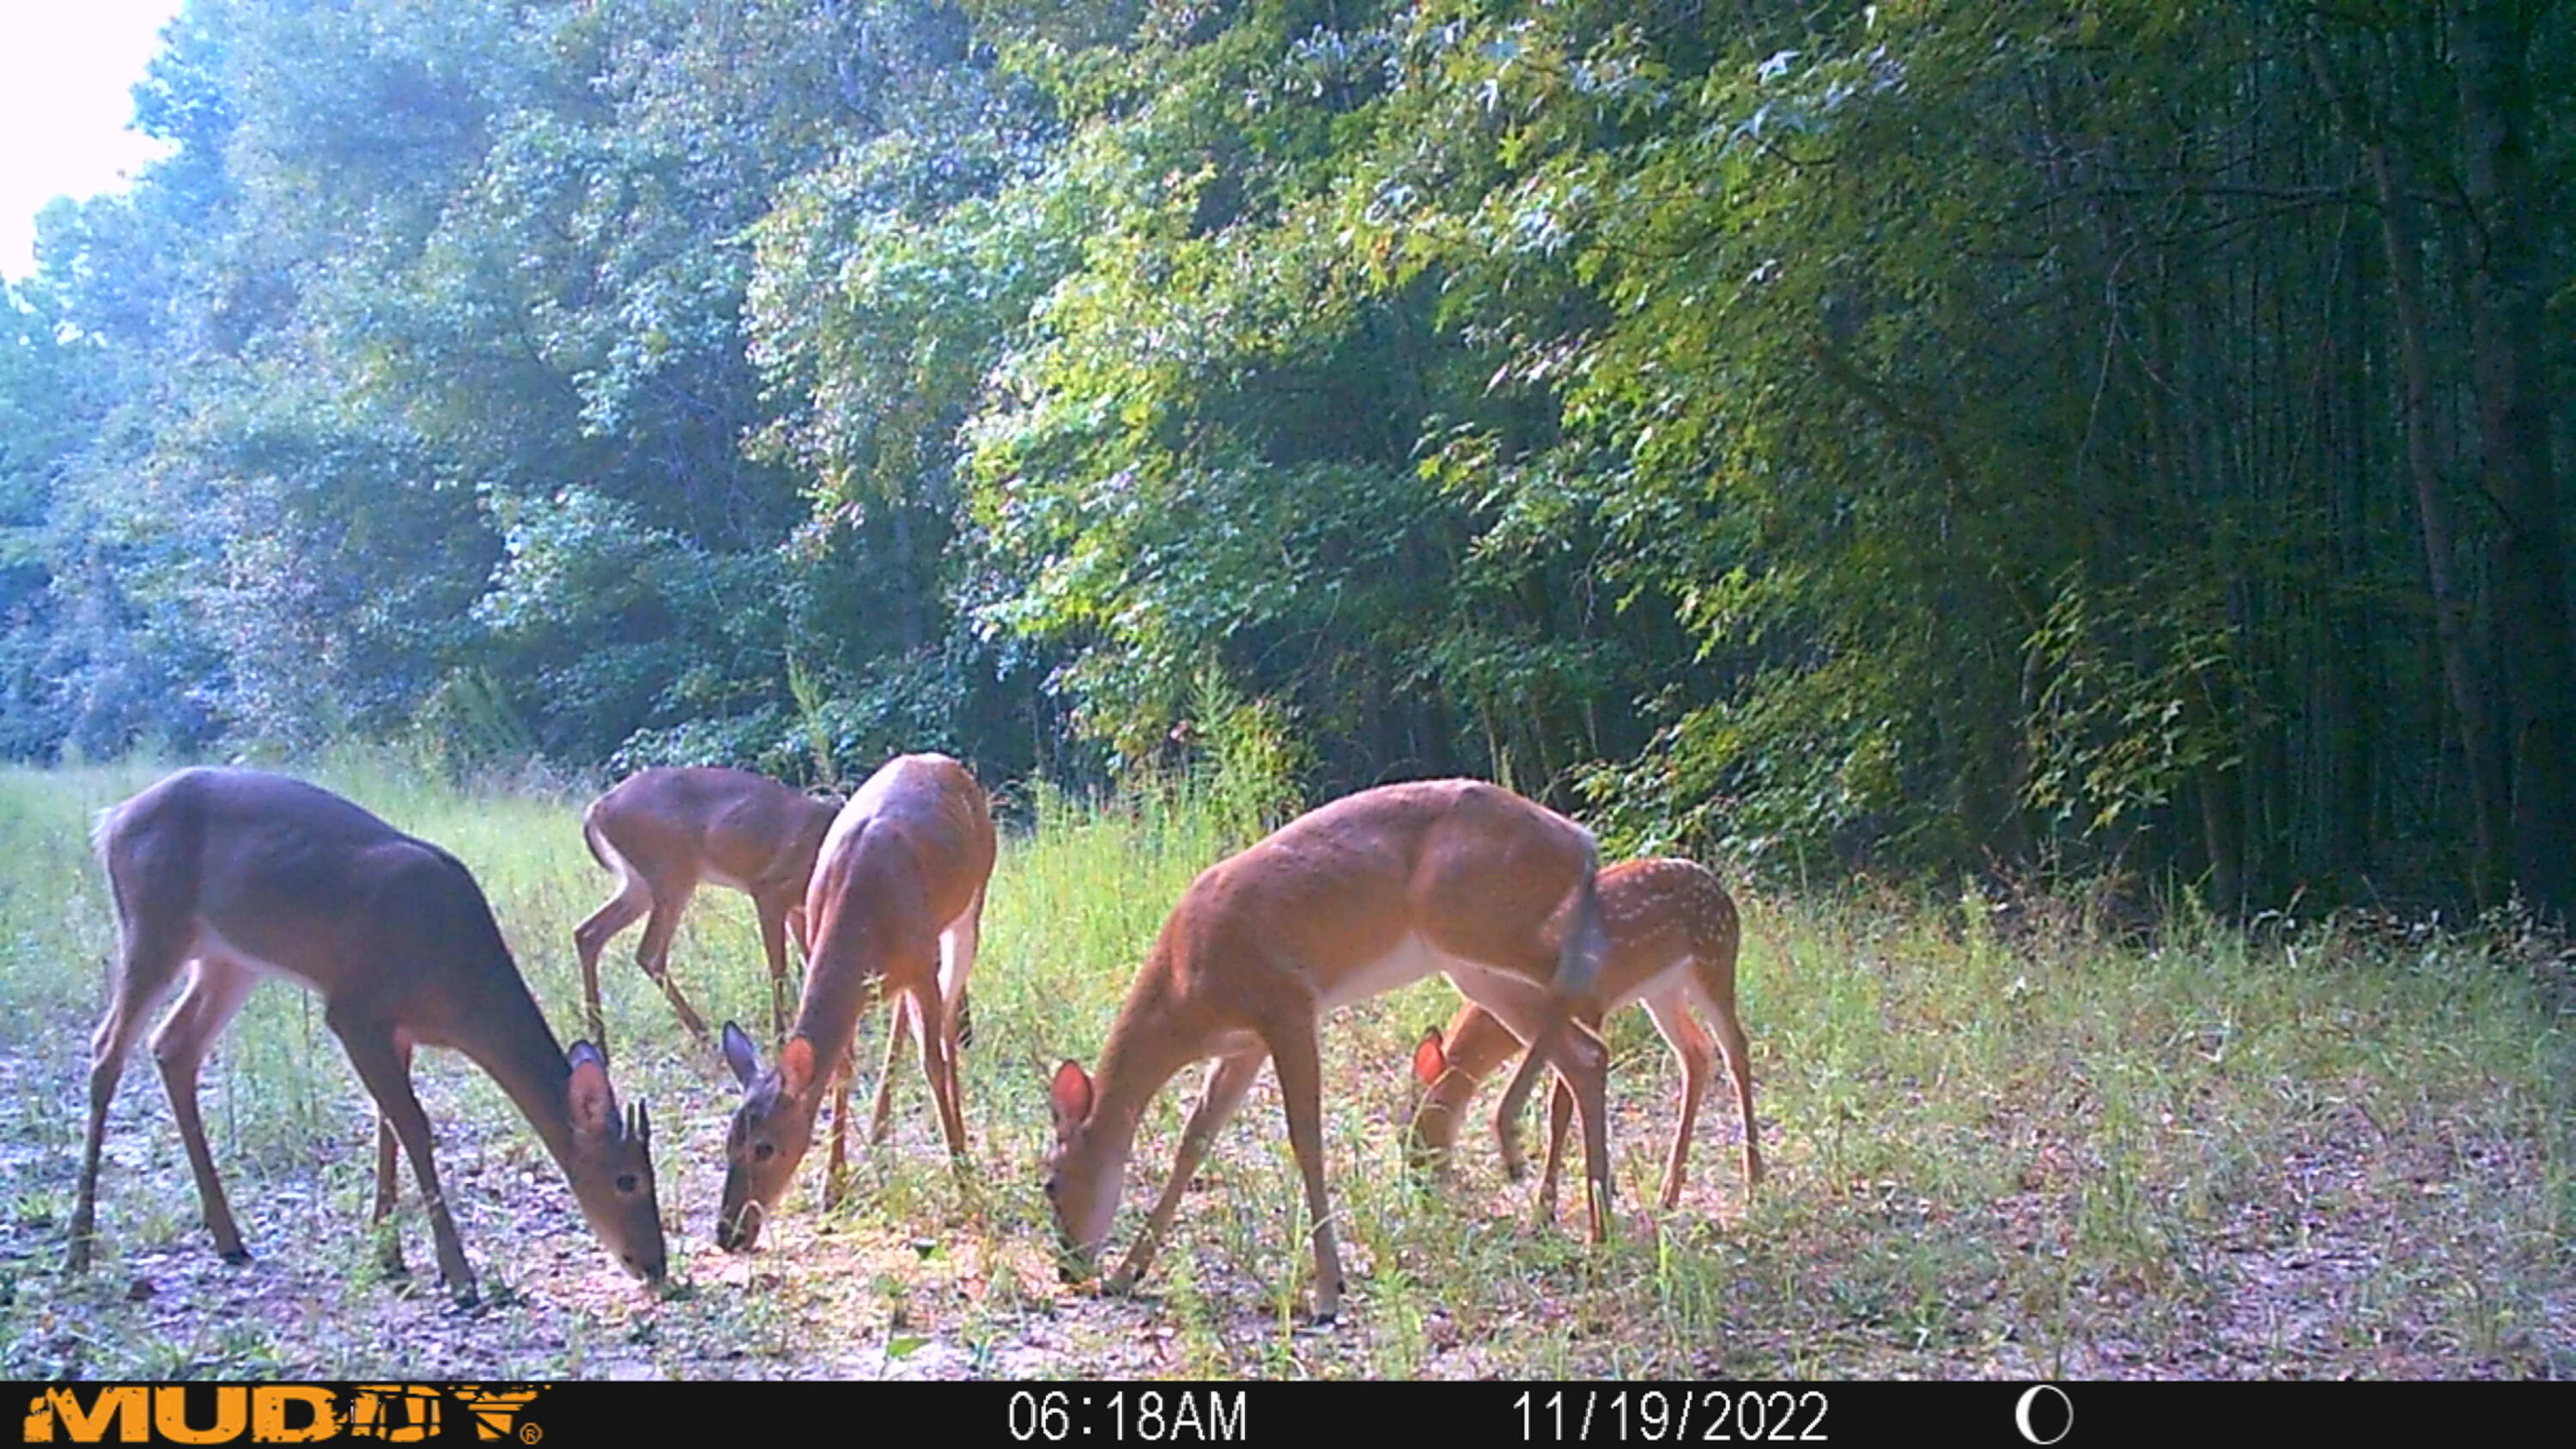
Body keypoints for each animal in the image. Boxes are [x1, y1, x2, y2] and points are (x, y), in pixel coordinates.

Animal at [68, 768, 667, 1306]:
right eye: (628, 1180)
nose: (655, 1266)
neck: (459, 989)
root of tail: (111, 821)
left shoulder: (396, 1029)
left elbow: (389, 1131)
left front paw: (389, 1256)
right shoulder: (355, 1011)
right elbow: (414, 1127)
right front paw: (459, 1276)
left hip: (229, 958)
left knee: (173, 1047)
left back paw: (228, 1239)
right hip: (153, 925)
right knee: (106, 1050)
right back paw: (79, 1248)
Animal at [572, 766, 839, 1054]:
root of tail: (597, 807)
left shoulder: (797, 911)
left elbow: (811, 962)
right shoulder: (768, 891)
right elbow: (779, 969)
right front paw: (781, 1041)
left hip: (639, 884)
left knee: (588, 932)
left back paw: (599, 1042)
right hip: (671, 875)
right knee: (649, 953)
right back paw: (705, 1036)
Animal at [715, 753, 994, 1252]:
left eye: (765, 1147)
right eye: (728, 1142)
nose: (728, 1234)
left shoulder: (922, 963)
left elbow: (932, 1062)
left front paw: (964, 1181)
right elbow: (842, 1069)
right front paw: (834, 1189)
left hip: (970, 905)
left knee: (943, 1027)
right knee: (904, 1020)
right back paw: (880, 1135)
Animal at [1042, 778, 1618, 1324]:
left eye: (1048, 1182)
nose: (1068, 1268)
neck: (1184, 988)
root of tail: (1581, 841)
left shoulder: (1288, 1008)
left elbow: (1306, 1141)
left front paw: (1326, 1293)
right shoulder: (1243, 1045)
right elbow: (1195, 1141)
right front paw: (1126, 1274)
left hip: (1479, 927)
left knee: (1582, 987)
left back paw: (1535, 1164)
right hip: (1473, 964)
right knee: (1585, 1053)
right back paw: (1594, 1227)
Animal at [1408, 857, 1762, 1219]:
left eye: (1419, 1121)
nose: (1419, 1181)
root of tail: (1718, 887)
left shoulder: (1591, 1006)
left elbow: (1560, 1106)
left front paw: (1546, 1207)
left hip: (1715, 961)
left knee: (1736, 1049)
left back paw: (1754, 1183)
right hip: (1662, 990)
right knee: (1696, 1053)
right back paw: (1670, 1193)